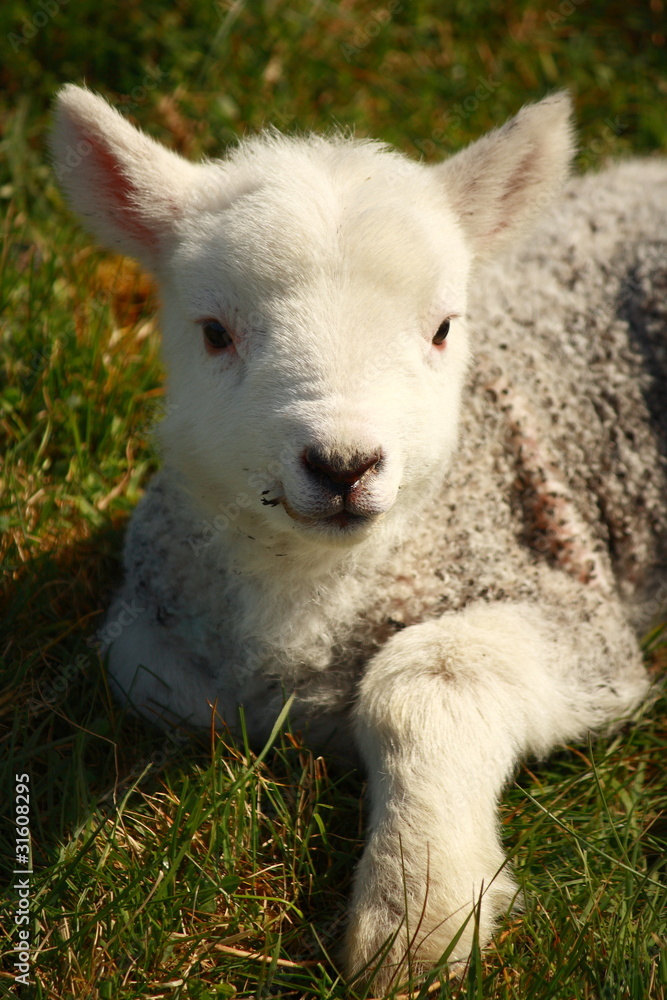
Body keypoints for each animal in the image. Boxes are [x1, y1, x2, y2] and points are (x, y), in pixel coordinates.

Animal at [51, 84, 667, 990]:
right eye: (213, 332)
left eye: (443, 328)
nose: (342, 465)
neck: (316, 582)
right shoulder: (153, 623)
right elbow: (164, 682)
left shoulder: (572, 606)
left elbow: (429, 675)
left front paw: (417, 918)